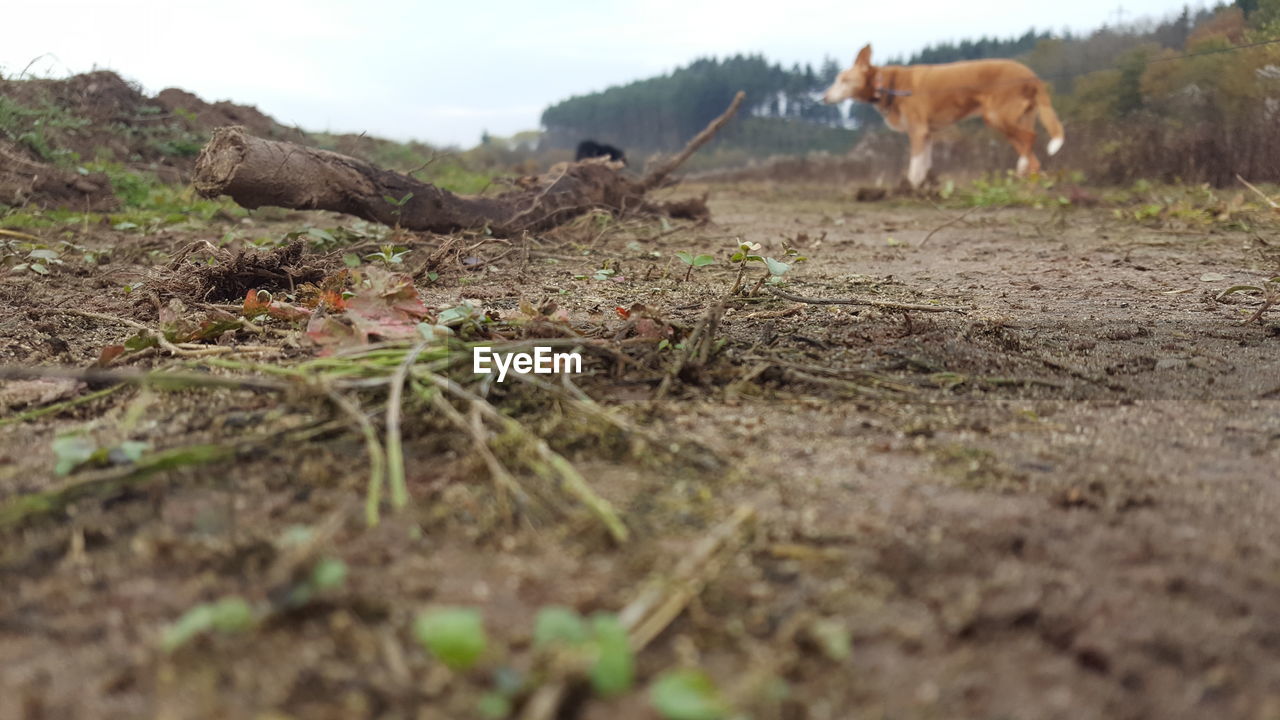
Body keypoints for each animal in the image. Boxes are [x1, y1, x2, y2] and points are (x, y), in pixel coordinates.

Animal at [824, 43, 1064, 185]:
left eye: (843, 80)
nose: (823, 98)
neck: (887, 85)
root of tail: (1032, 75)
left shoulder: (918, 131)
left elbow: (914, 166)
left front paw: (911, 188)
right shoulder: (928, 134)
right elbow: (925, 164)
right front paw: (924, 188)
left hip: (998, 117)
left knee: (1030, 139)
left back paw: (1025, 173)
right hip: (1018, 119)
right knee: (1030, 149)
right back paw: (1027, 176)